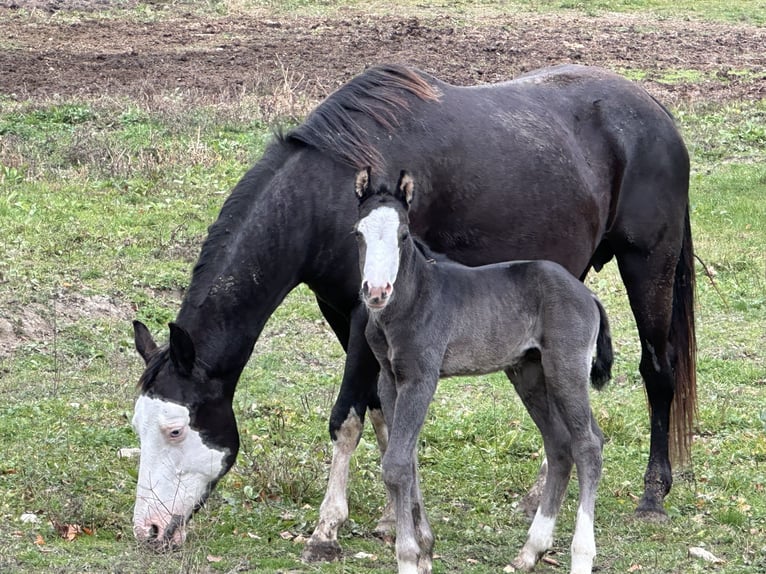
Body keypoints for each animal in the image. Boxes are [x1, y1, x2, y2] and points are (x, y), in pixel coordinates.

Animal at [354, 167, 613, 574]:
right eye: (358, 234)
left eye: (403, 235)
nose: (376, 291)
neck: (411, 300)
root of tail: (588, 295)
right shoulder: (388, 379)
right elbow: (407, 460)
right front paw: (425, 549)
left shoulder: (421, 378)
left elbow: (395, 464)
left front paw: (409, 557)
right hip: (528, 372)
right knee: (559, 444)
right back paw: (531, 550)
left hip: (565, 368)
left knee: (588, 444)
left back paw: (581, 556)